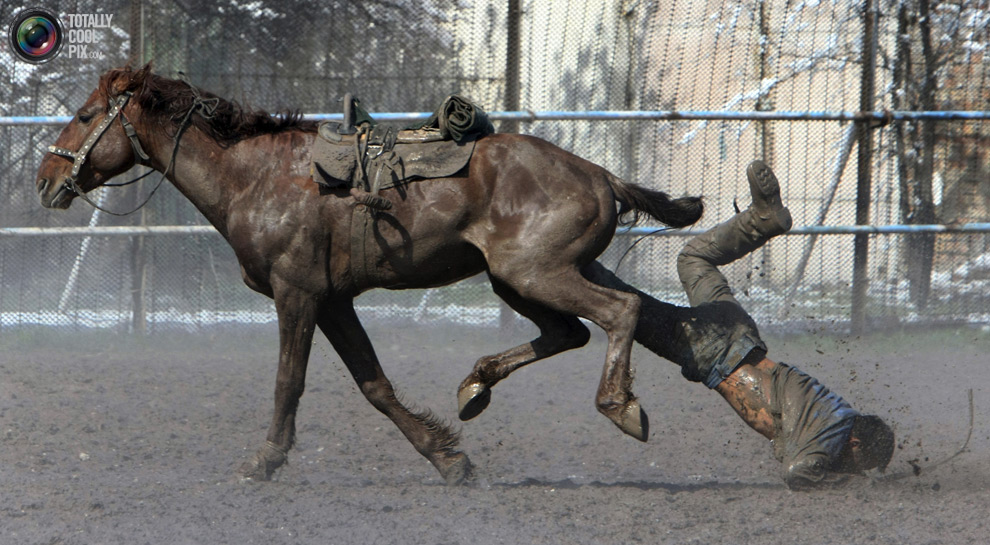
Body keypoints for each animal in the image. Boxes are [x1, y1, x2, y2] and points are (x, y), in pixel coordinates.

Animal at [35, 65, 700, 484]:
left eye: (85, 115)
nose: (46, 179)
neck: (256, 176)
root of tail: (600, 176)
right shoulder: (334, 303)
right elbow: (374, 384)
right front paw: (447, 459)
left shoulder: (297, 295)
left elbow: (289, 383)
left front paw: (264, 462)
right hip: (516, 279)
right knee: (572, 331)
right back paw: (475, 386)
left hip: (535, 272)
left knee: (619, 313)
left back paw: (620, 406)